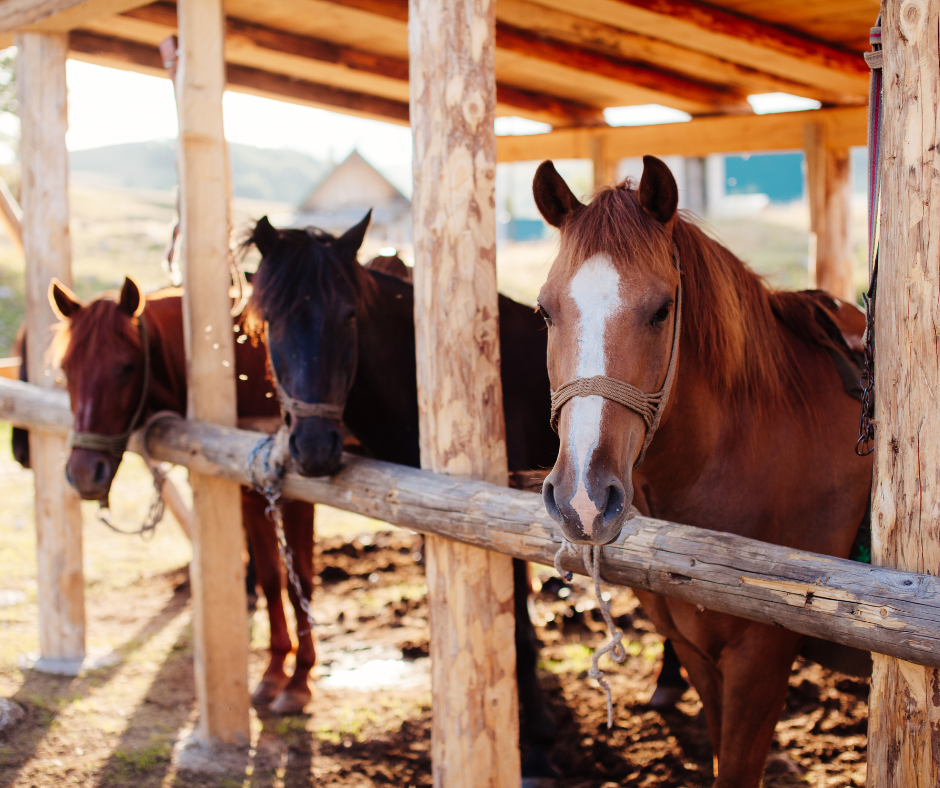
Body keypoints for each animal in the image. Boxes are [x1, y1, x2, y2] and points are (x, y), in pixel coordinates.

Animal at [47, 279, 317, 715]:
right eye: (66, 370)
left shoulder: (295, 498)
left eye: (127, 367)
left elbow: (300, 584)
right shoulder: (248, 492)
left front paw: (300, 680)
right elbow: (272, 579)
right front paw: (275, 672)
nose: (85, 474)